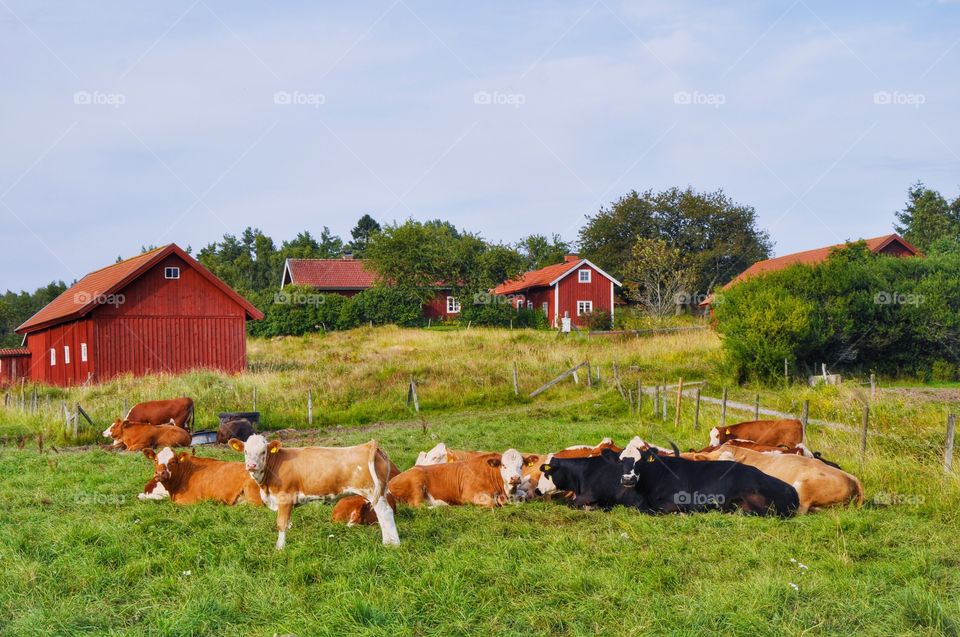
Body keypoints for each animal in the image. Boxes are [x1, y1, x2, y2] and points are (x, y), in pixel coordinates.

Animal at [228, 434, 398, 548]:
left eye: (263, 451)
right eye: (245, 452)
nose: (251, 465)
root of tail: (368, 445)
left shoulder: (284, 497)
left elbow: (281, 524)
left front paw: (279, 548)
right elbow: (288, 523)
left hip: (372, 491)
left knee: (385, 513)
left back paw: (391, 543)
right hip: (380, 491)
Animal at [386, 450, 528, 510]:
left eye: (521, 465)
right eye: (504, 465)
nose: (515, 478)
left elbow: (524, 496)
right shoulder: (468, 495)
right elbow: (492, 503)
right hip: (417, 482)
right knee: (418, 506)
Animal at [620, 442, 800, 516]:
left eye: (640, 461)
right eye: (620, 461)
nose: (628, 479)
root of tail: (791, 490)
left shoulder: (675, 503)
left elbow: (648, 510)